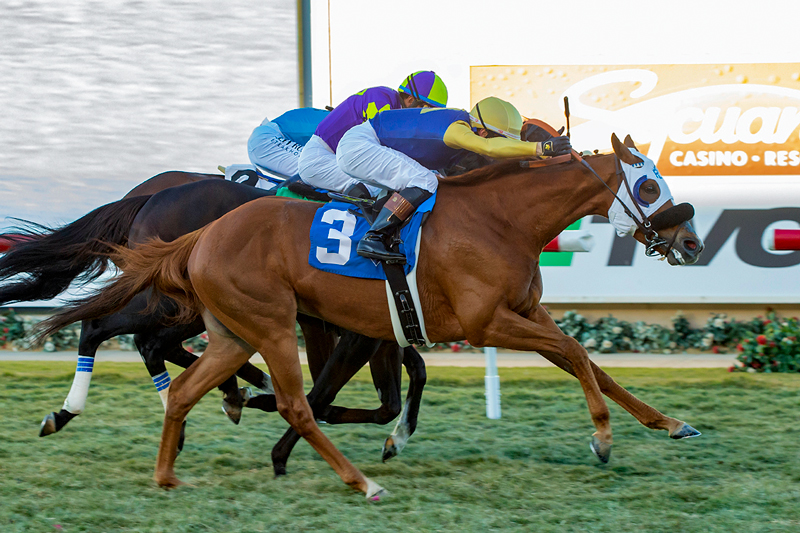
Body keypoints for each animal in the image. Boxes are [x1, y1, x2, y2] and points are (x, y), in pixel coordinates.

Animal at [42, 134, 708, 498]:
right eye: (649, 186)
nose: (691, 242)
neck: (499, 218)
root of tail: (198, 230)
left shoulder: (516, 313)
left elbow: (592, 364)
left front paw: (671, 422)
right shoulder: (480, 323)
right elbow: (574, 355)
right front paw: (602, 439)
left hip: (232, 327)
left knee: (181, 377)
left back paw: (179, 457)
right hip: (255, 321)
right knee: (136, 339)